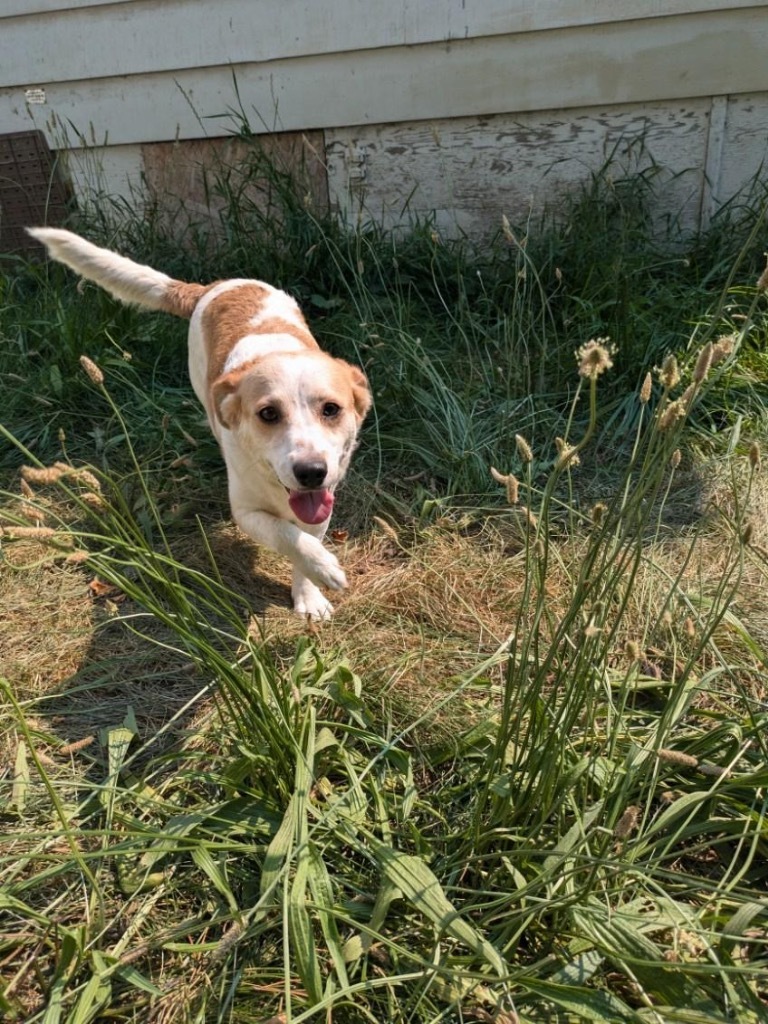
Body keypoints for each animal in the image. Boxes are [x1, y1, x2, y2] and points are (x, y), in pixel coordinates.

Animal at [31, 228, 374, 618]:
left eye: (331, 409)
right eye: (268, 414)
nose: (312, 471)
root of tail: (214, 285)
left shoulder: (322, 504)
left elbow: (304, 538)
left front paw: (309, 593)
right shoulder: (246, 511)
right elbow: (288, 536)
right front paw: (323, 566)